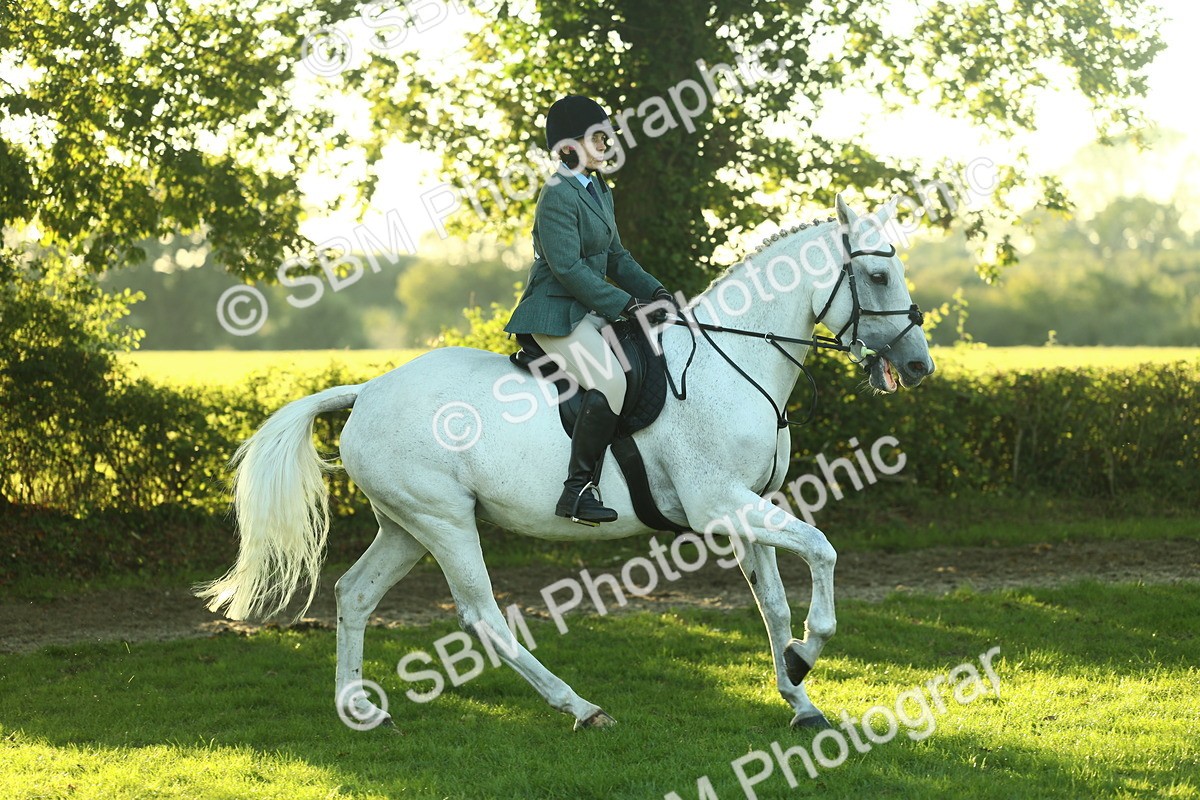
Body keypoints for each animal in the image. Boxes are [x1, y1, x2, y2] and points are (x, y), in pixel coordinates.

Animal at [195, 194, 934, 731]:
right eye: (876, 275)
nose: (919, 366)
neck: (735, 359)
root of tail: (369, 390)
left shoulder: (743, 507)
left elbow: (775, 604)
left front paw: (800, 696)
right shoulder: (718, 502)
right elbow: (822, 550)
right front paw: (809, 654)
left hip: (405, 525)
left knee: (354, 594)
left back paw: (358, 711)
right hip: (445, 522)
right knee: (483, 617)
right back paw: (579, 707)